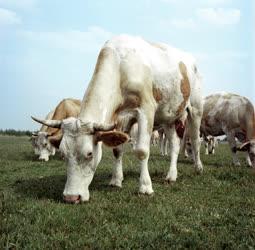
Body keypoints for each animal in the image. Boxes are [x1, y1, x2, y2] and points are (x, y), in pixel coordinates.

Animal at [31, 35, 203, 203]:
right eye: (64, 154)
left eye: (89, 154)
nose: (71, 197)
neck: (121, 64)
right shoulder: (120, 118)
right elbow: (117, 150)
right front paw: (116, 180)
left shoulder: (146, 109)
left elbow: (142, 151)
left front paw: (145, 187)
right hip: (169, 116)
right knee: (174, 145)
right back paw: (171, 175)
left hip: (196, 108)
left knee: (195, 140)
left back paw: (198, 167)